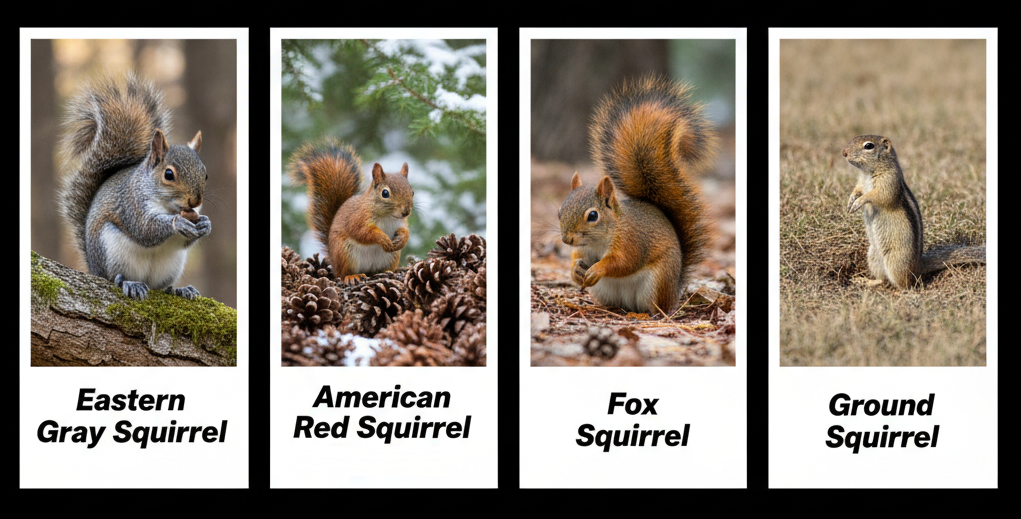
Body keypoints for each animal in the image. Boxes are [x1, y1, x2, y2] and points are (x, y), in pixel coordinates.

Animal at [58, 74, 210, 301]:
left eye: (205, 174)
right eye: (168, 175)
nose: (195, 200)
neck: (169, 206)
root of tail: (94, 268)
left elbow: (187, 240)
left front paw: (205, 224)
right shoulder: (131, 202)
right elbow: (144, 228)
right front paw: (178, 223)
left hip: (171, 266)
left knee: (161, 286)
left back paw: (180, 289)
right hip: (111, 252)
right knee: (115, 277)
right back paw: (130, 283)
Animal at [288, 137, 414, 283]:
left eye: (412, 192)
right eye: (385, 193)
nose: (406, 212)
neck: (387, 216)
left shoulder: (402, 223)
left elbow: (405, 232)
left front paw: (402, 239)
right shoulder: (358, 217)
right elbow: (362, 232)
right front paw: (383, 239)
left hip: (391, 257)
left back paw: (390, 271)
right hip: (345, 254)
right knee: (343, 274)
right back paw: (352, 276)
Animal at [558, 75, 714, 316]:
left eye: (593, 216)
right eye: (559, 211)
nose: (567, 239)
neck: (601, 238)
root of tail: (674, 291)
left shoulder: (631, 241)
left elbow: (623, 262)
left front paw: (598, 269)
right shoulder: (584, 249)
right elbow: (577, 259)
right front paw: (575, 270)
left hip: (658, 282)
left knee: (657, 308)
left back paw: (646, 314)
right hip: (606, 291)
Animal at [842, 134, 985, 289]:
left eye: (868, 146)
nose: (844, 153)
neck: (868, 173)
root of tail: (918, 266)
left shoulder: (889, 182)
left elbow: (878, 196)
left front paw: (858, 202)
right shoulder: (861, 182)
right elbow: (857, 189)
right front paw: (850, 202)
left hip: (895, 262)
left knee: (905, 283)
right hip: (873, 255)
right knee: (883, 279)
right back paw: (865, 281)